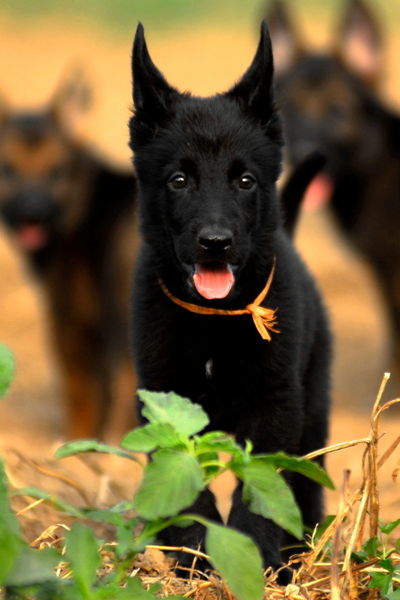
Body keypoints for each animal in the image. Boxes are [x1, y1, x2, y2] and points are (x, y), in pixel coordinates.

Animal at [129, 19, 332, 572]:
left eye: (244, 180)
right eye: (179, 180)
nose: (215, 242)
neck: (213, 320)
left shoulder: (276, 404)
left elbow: (261, 487)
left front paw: (254, 556)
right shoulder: (162, 399)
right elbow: (186, 483)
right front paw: (194, 555)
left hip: (314, 409)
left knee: (306, 486)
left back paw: (300, 556)